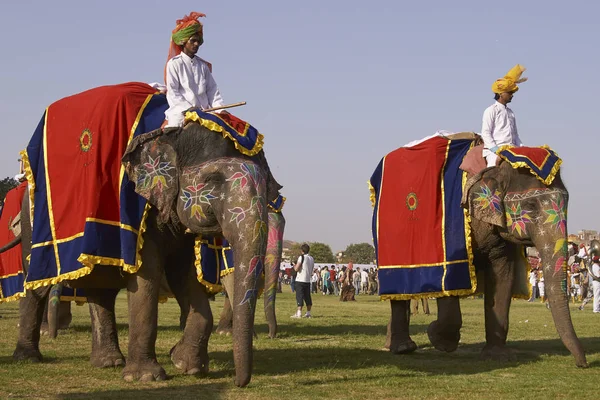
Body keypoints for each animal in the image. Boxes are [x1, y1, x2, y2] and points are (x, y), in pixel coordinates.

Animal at [370, 135, 584, 368]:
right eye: (531, 205)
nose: (582, 364)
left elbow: (503, 277)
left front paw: (499, 357)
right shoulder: (452, 225)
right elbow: (452, 280)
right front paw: (438, 338)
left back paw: (395, 344)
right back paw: (403, 348)